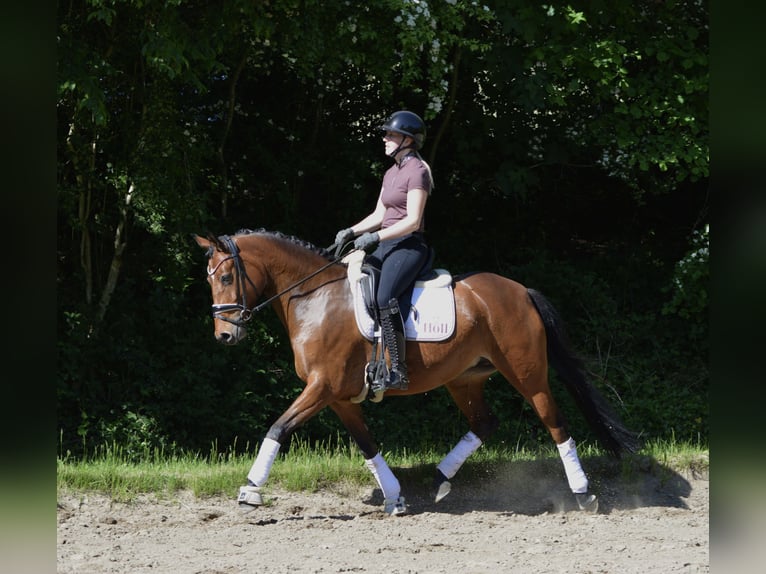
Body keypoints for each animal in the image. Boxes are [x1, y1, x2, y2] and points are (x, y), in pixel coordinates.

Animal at [194, 229, 638, 516]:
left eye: (228, 276)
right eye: (209, 280)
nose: (224, 335)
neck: (314, 299)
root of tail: (520, 290)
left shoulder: (321, 388)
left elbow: (278, 428)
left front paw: (250, 491)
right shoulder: (339, 397)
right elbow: (367, 445)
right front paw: (395, 496)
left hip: (527, 375)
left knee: (556, 423)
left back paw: (583, 494)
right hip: (464, 379)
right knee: (485, 422)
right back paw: (438, 479)